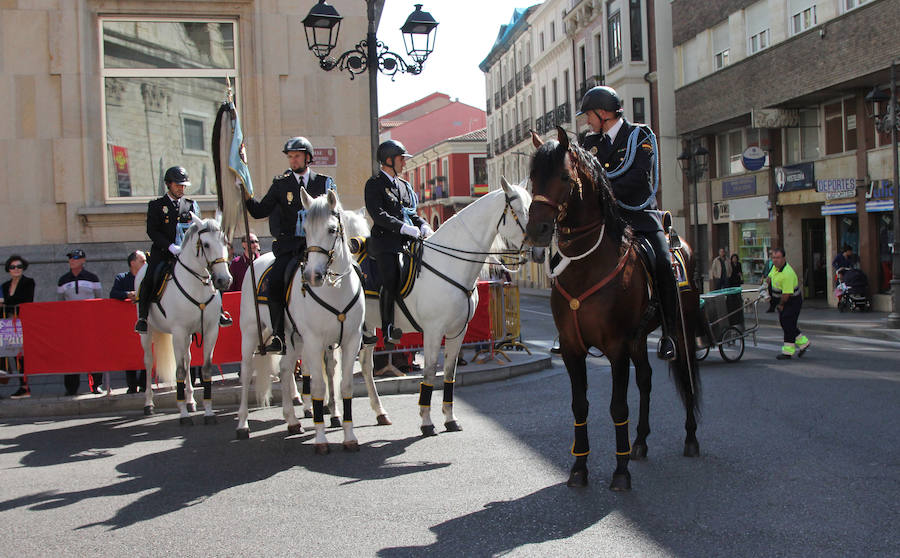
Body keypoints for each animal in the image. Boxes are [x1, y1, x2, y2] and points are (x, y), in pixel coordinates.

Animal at [135, 214, 232, 424]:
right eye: (205, 244)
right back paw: (149, 404)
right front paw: (184, 415)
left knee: (187, 359)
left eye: (225, 242)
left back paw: (190, 400)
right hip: (149, 332)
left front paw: (208, 412)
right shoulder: (178, 331)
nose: (224, 280)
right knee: (148, 362)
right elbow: (178, 370)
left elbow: (204, 368)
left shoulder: (210, 330)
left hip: (187, 335)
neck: (198, 284)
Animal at [362, 179, 536, 438]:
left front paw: (450, 419)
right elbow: (429, 373)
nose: (540, 248)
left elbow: (449, 373)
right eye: (520, 211)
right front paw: (426, 422)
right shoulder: (433, 332)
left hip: (367, 327)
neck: (448, 263)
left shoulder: (458, 331)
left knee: (363, 366)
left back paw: (378, 413)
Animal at [528, 127, 704, 490]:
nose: (536, 230)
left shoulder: (616, 347)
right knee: (647, 380)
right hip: (639, 340)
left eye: (564, 177)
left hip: (682, 329)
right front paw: (579, 467)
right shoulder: (573, 348)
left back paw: (691, 438)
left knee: (687, 375)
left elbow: (618, 406)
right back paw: (640, 442)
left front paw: (620, 472)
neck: (587, 265)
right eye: (532, 176)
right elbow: (580, 406)